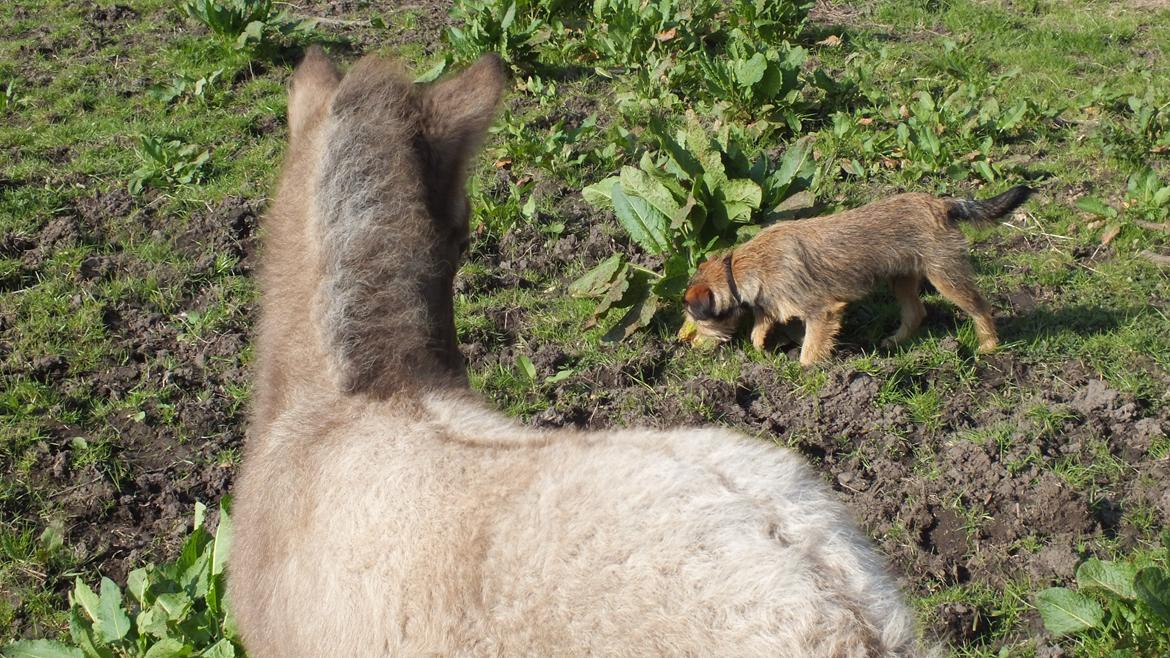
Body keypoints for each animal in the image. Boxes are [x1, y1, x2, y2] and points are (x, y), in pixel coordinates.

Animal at [683, 186, 1034, 362]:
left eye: (696, 320)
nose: (689, 344)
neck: (741, 267)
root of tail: (941, 205)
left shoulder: (821, 311)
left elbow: (809, 350)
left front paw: (807, 372)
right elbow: (762, 319)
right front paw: (758, 342)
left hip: (946, 275)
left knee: (979, 307)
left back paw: (988, 344)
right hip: (902, 279)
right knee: (915, 311)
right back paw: (894, 341)